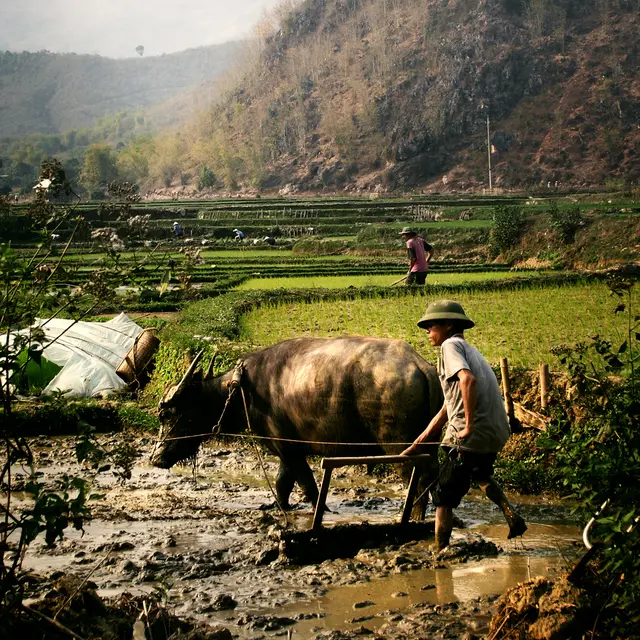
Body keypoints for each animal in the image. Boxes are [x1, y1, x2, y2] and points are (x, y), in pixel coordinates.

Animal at [152, 338, 442, 512]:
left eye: (169, 414)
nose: (156, 458)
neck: (242, 389)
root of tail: (420, 365)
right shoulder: (287, 451)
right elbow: (283, 483)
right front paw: (278, 507)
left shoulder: (288, 449)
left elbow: (306, 484)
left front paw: (320, 510)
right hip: (431, 443)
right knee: (432, 479)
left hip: (401, 448)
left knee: (416, 481)